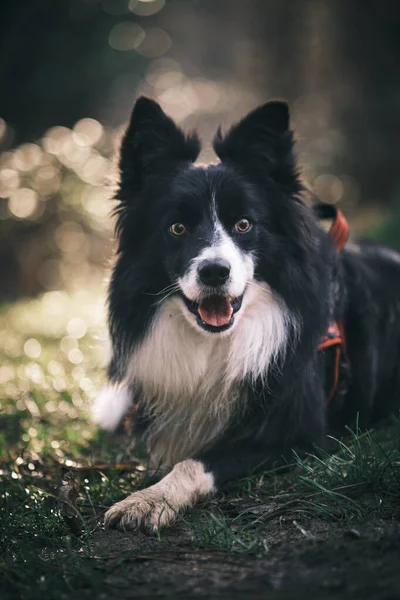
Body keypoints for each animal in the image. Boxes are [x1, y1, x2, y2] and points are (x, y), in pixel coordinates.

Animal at [93, 97, 400, 528]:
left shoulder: (298, 437)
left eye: (243, 224)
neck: (216, 342)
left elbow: (196, 461)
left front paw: (149, 499)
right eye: (177, 228)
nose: (214, 271)